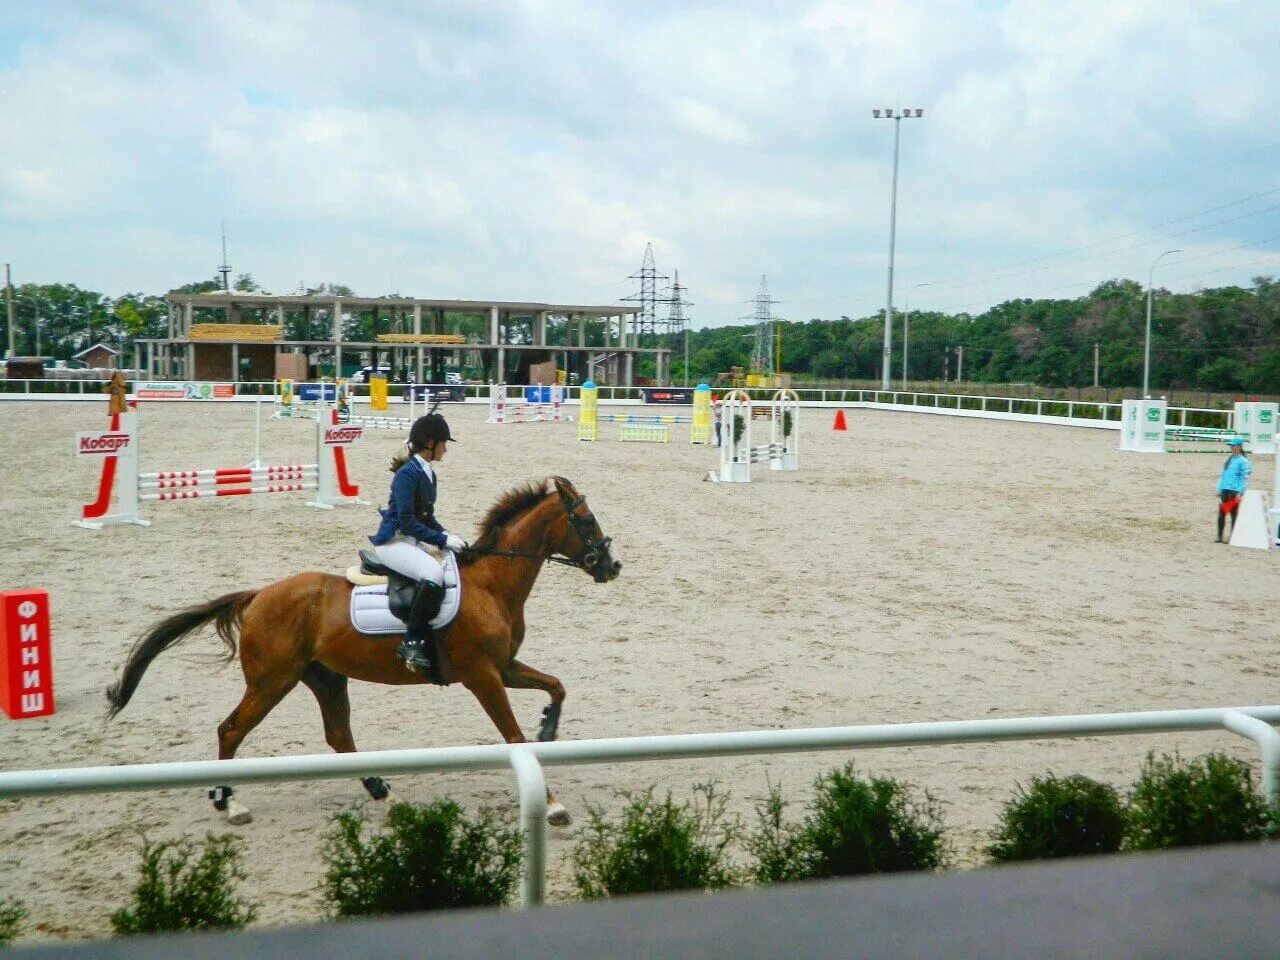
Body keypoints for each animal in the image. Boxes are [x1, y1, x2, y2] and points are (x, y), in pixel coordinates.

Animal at [104, 478, 614, 829]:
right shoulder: (483, 676)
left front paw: (549, 727)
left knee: (339, 737)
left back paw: (382, 792)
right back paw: (229, 803)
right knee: (231, 730)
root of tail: (258, 596)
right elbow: (512, 735)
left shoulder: (504, 668)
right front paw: (553, 805)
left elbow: (557, 686)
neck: (491, 585)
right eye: (587, 521)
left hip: (324, 677)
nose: (613, 566)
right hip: (272, 681)